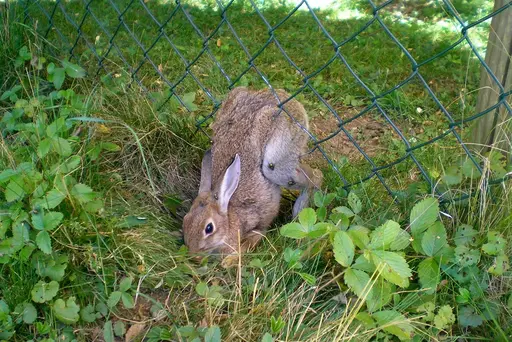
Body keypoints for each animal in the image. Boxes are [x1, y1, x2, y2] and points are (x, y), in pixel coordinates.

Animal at [182, 87, 322, 255]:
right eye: (185, 220)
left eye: (209, 228)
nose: (193, 253)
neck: (229, 215)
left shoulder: (257, 226)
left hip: (277, 158)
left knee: (314, 177)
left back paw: (299, 211)